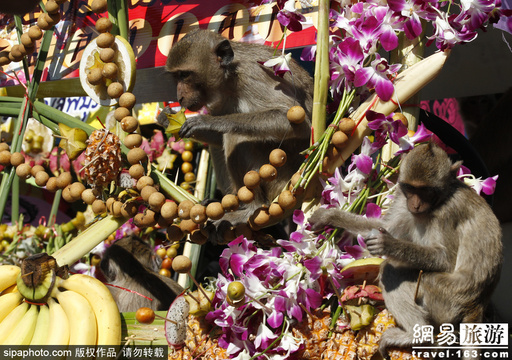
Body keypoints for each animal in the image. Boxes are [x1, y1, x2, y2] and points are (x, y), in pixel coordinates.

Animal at [162, 28, 314, 242]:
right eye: (177, 77)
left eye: (185, 75)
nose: (179, 97)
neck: (230, 77)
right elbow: (216, 139)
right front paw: (166, 120)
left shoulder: (255, 76)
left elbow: (295, 122)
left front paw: (208, 122)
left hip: (280, 180)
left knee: (236, 137)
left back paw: (250, 208)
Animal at [308, 143, 504, 358]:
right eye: (411, 188)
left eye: (427, 191)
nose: (416, 204)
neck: (440, 200)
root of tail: (476, 305)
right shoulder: (403, 200)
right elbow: (381, 226)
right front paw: (330, 216)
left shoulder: (447, 213)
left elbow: (445, 259)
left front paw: (388, 244)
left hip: (447, 297)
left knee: (392, 271)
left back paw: (417, 335)